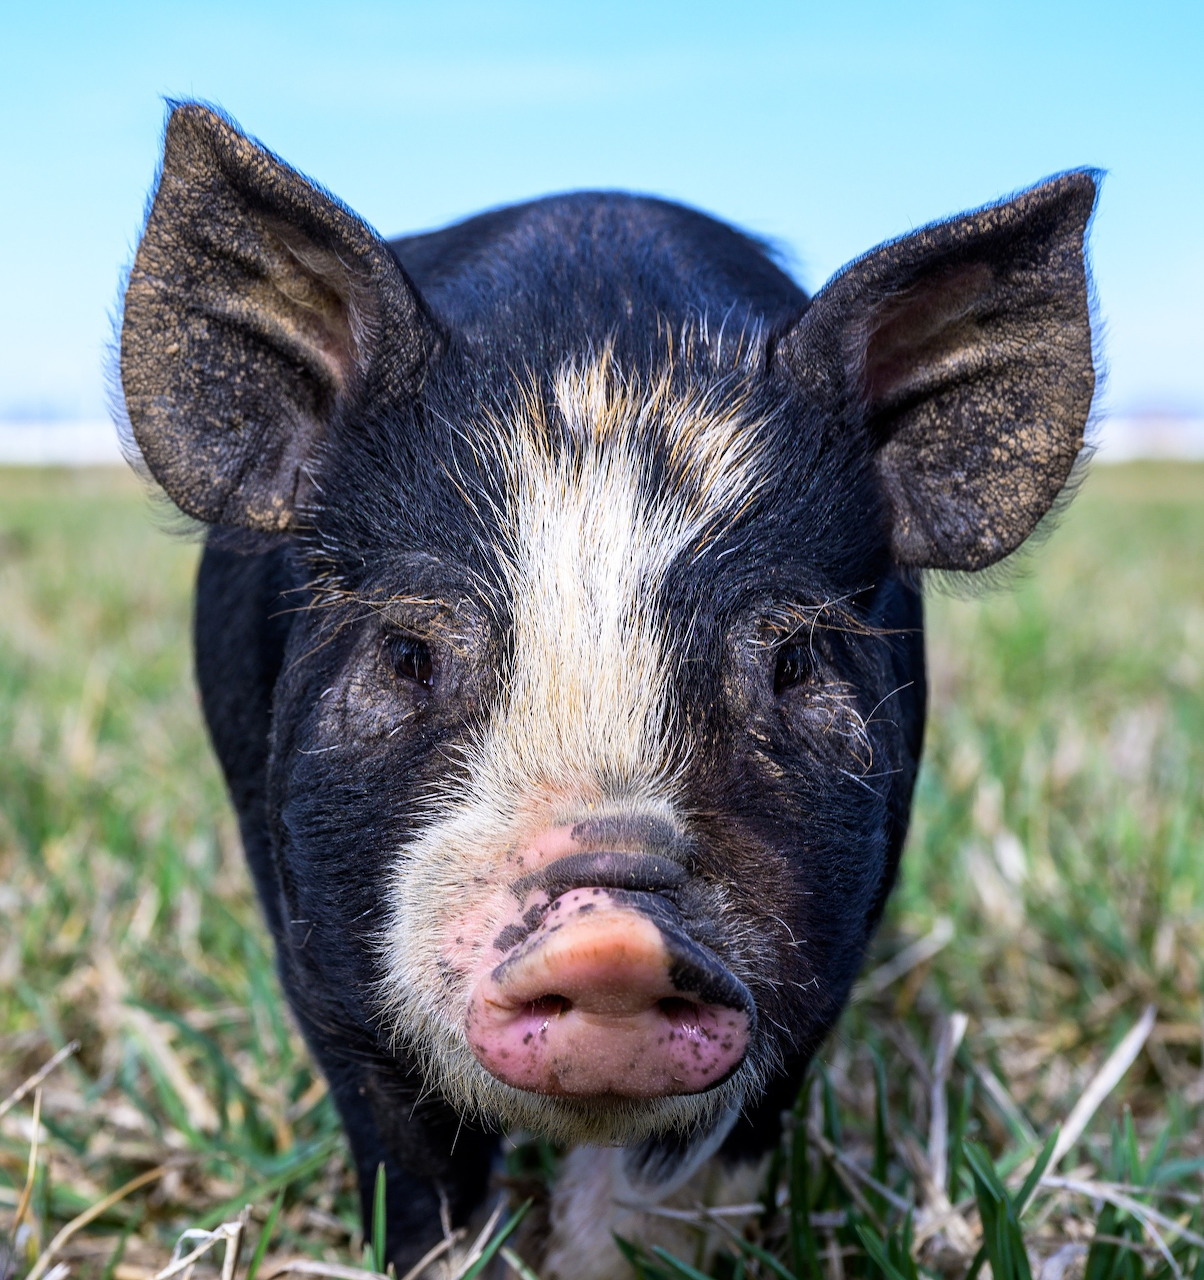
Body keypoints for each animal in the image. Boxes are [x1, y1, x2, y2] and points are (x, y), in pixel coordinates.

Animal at [118, 102, 1096, 1276]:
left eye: (794, 660)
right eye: (406, 652)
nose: (612, 939)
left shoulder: (828, 959)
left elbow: (670, 1186)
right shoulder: (316, 947)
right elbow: (417, 1173)